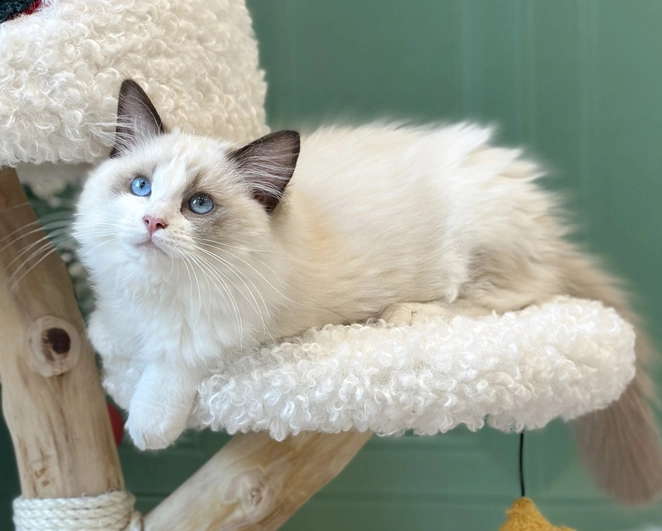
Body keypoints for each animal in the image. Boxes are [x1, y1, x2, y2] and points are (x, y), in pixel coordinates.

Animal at [72, 80, 662, 508]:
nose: (151, 222)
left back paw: (403, 314)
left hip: (480, 243)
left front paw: (148, 424)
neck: (156, 292)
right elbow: (114, 329)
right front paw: (105, 334)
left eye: (198, 205)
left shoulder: (237, 323)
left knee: (513, 295)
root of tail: (550, 232)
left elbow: (177, 358)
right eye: (141, 187)